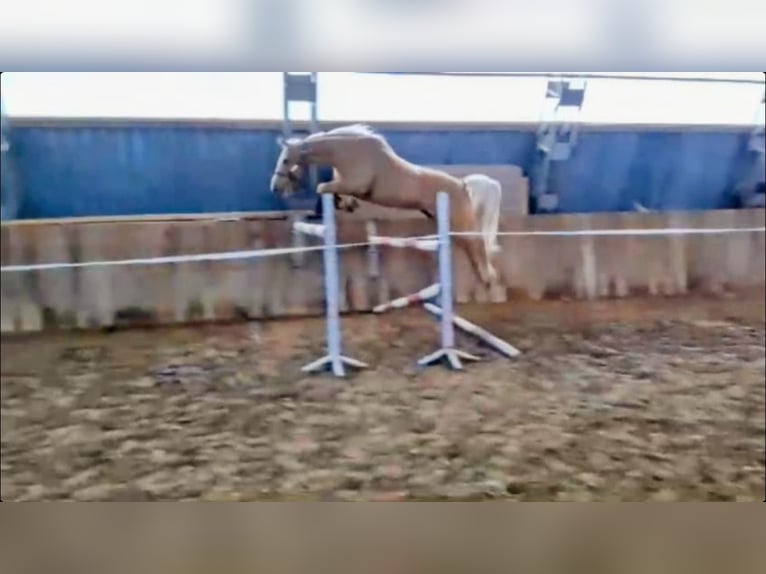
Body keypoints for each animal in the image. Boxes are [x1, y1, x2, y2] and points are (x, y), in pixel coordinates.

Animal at [270, 126, 504, 288]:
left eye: (285, 160)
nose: (275, 187)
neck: (347, 152)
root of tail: (463, 184)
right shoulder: (346, 185)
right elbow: (334, 192)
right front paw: (347, 204)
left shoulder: (354, 184)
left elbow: (323, 187)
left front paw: (342, 203)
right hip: (446, 223)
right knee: (471, 246)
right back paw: (483, 278)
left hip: (459, 222)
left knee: (478, 242)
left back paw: (487, 278)